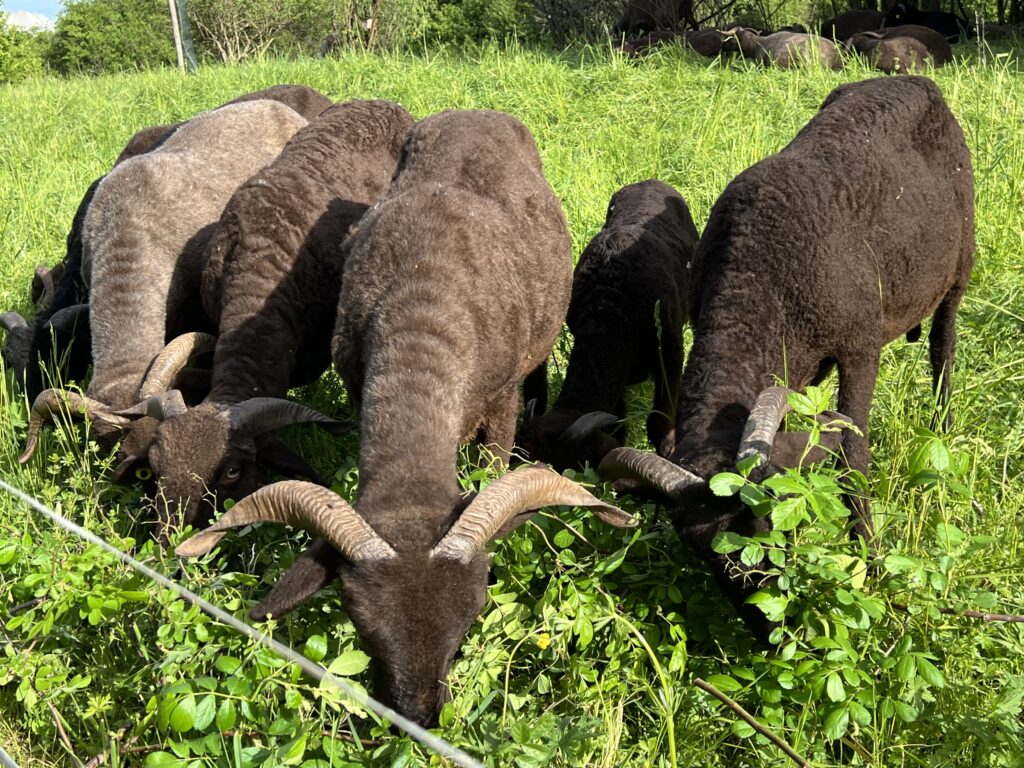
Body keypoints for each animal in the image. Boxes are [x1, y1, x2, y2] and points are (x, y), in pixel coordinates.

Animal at [177, 108, 638, 729]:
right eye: (359, 618)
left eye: (470, 618)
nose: (418, 716)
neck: (422, 307)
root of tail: (475, 112)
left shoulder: (500, 400)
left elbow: (494, 459)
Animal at [598, 76, 974, 643]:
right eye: (701, 553)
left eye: (771, 520)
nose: (769, 627)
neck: (758, 277)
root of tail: (916, 81)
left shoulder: (859, 347)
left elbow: (852, 452)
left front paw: (871, 559)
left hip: (960, 263)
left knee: (943, 342)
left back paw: (942, 425)